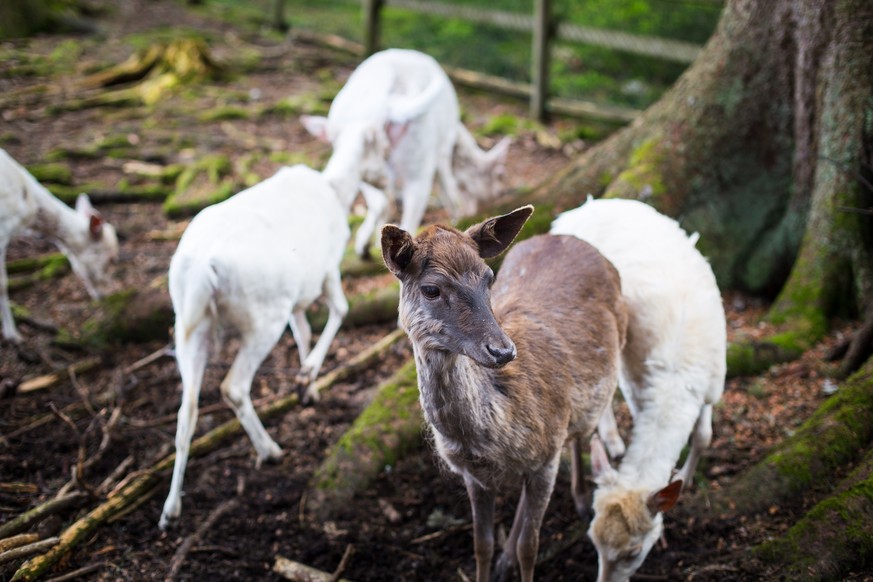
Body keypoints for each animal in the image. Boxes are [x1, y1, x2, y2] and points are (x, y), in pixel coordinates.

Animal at [304, 49, 510, 258]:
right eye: (497, 178)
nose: (497, 196)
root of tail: (387, 104)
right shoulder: (443, 152)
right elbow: (448, 189)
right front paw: (458, 219)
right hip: (419, 161)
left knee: (380, 201)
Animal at [382, 206, 628, 582]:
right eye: (431, 289)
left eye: (488, 277)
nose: (502, 350)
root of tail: (568, 236)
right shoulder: (473, 476)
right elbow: (481, 545)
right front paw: (495, 561)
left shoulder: (546, 458)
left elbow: (531, 546)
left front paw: (519, 556)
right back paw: (505, 560)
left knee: (579, 433)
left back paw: (582, 500)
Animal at [552, 198, 728, 580]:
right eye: (593, 541)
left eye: (634, 552)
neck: (677, 376)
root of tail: (577, 208)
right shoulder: (638, 382)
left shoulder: (714, 382)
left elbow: (704, 436)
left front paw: (683, 477)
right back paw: (613, 441)